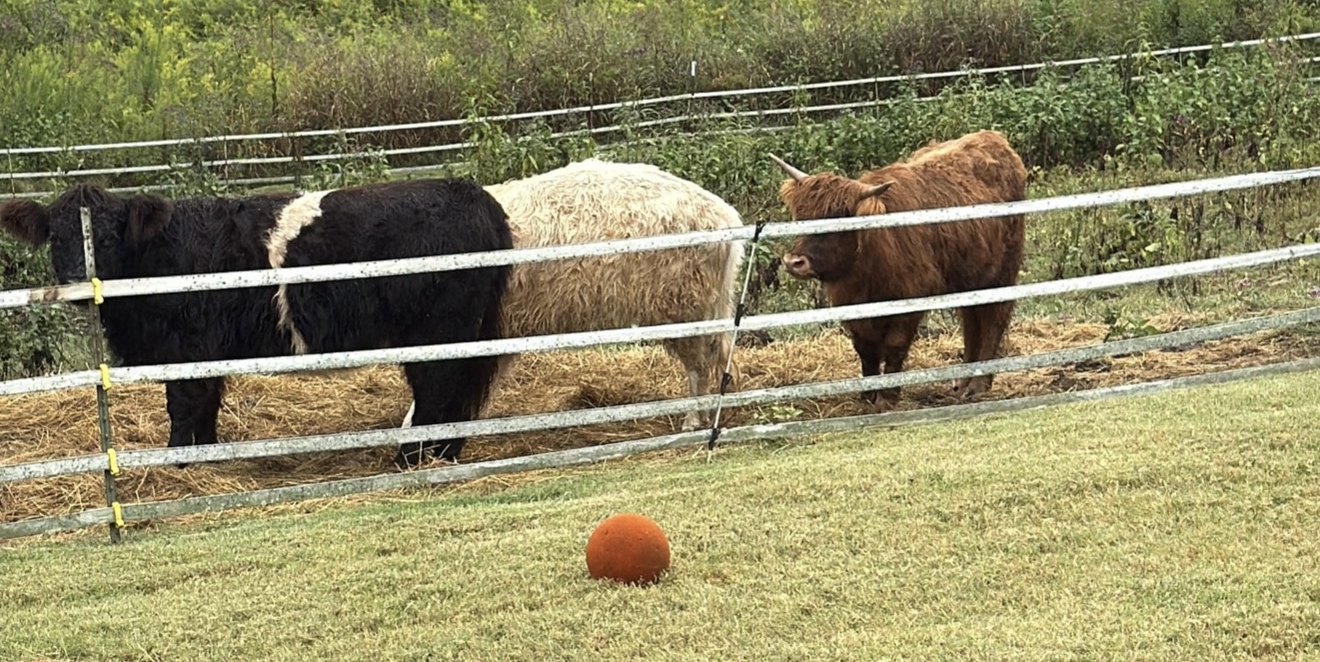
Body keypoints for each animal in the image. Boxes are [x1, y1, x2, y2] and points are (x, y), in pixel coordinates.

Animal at [0, 179, 513, 468]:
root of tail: (472, 193)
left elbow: (184, 407)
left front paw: (176, 465)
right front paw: (204, 460)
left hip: (437, 331)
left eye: (107, 236)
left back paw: (410, 460)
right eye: (55, 237)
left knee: (437, 392)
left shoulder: (187, 351)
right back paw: (441, 456)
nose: (75, 284)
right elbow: (205, 406)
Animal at [769, 130, 1028, 409]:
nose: (794, 261)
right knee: (971, 322)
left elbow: (894, 346)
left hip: (1002, 272)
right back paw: (962, 383)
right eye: (800, 217)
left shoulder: (911, 298)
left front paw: (888, 398)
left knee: (993, 321)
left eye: (835, 222)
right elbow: (865, 348)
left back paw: (979, 385)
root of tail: (992, 137)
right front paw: (868, 396)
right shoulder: (850, 304)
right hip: (970, 277)